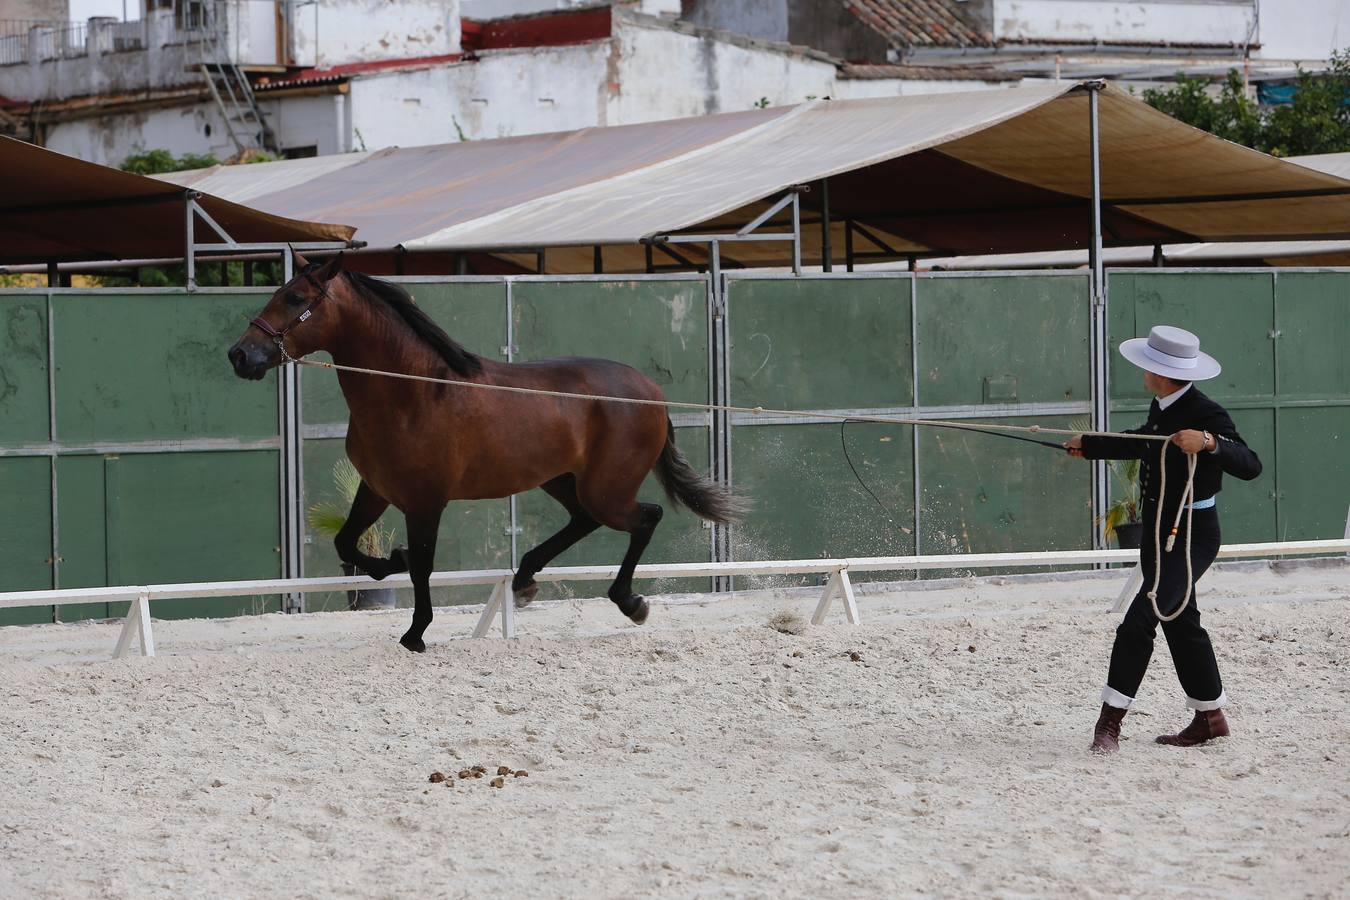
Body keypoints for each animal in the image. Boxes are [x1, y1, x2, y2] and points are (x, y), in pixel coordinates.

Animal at [225, 249, 745, 650]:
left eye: (295, 298)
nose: (240, 355)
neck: (413, 391)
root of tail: (651, 393)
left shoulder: (425, 501)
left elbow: (423, 565)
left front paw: (416, 633)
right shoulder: (376, 490)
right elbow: (348, 543)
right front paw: (392, 563)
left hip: (607, 488)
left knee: (645, 518)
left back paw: (629, 602)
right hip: (562, 480)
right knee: (583, 521)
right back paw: (525, 580)